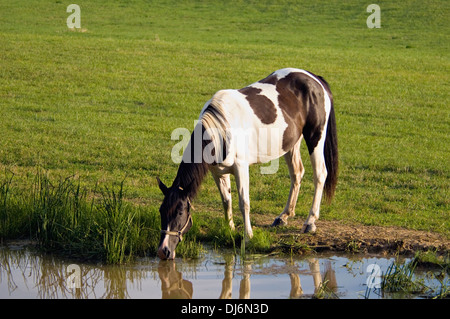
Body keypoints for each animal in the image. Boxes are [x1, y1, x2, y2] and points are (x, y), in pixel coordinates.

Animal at [158, 67, 338, 260]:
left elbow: (244, 202)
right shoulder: (218, 172)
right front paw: (229, 229)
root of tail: (315, 79)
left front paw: (248, 236)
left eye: (179, 212)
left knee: (320, 175)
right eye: (161, 210)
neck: (221, 128)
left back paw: (310, 222)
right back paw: (283, 216)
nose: (163, 250)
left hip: (315, 137)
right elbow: (226, 200)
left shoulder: (240, 168)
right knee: (297, 173)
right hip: (291, 142)